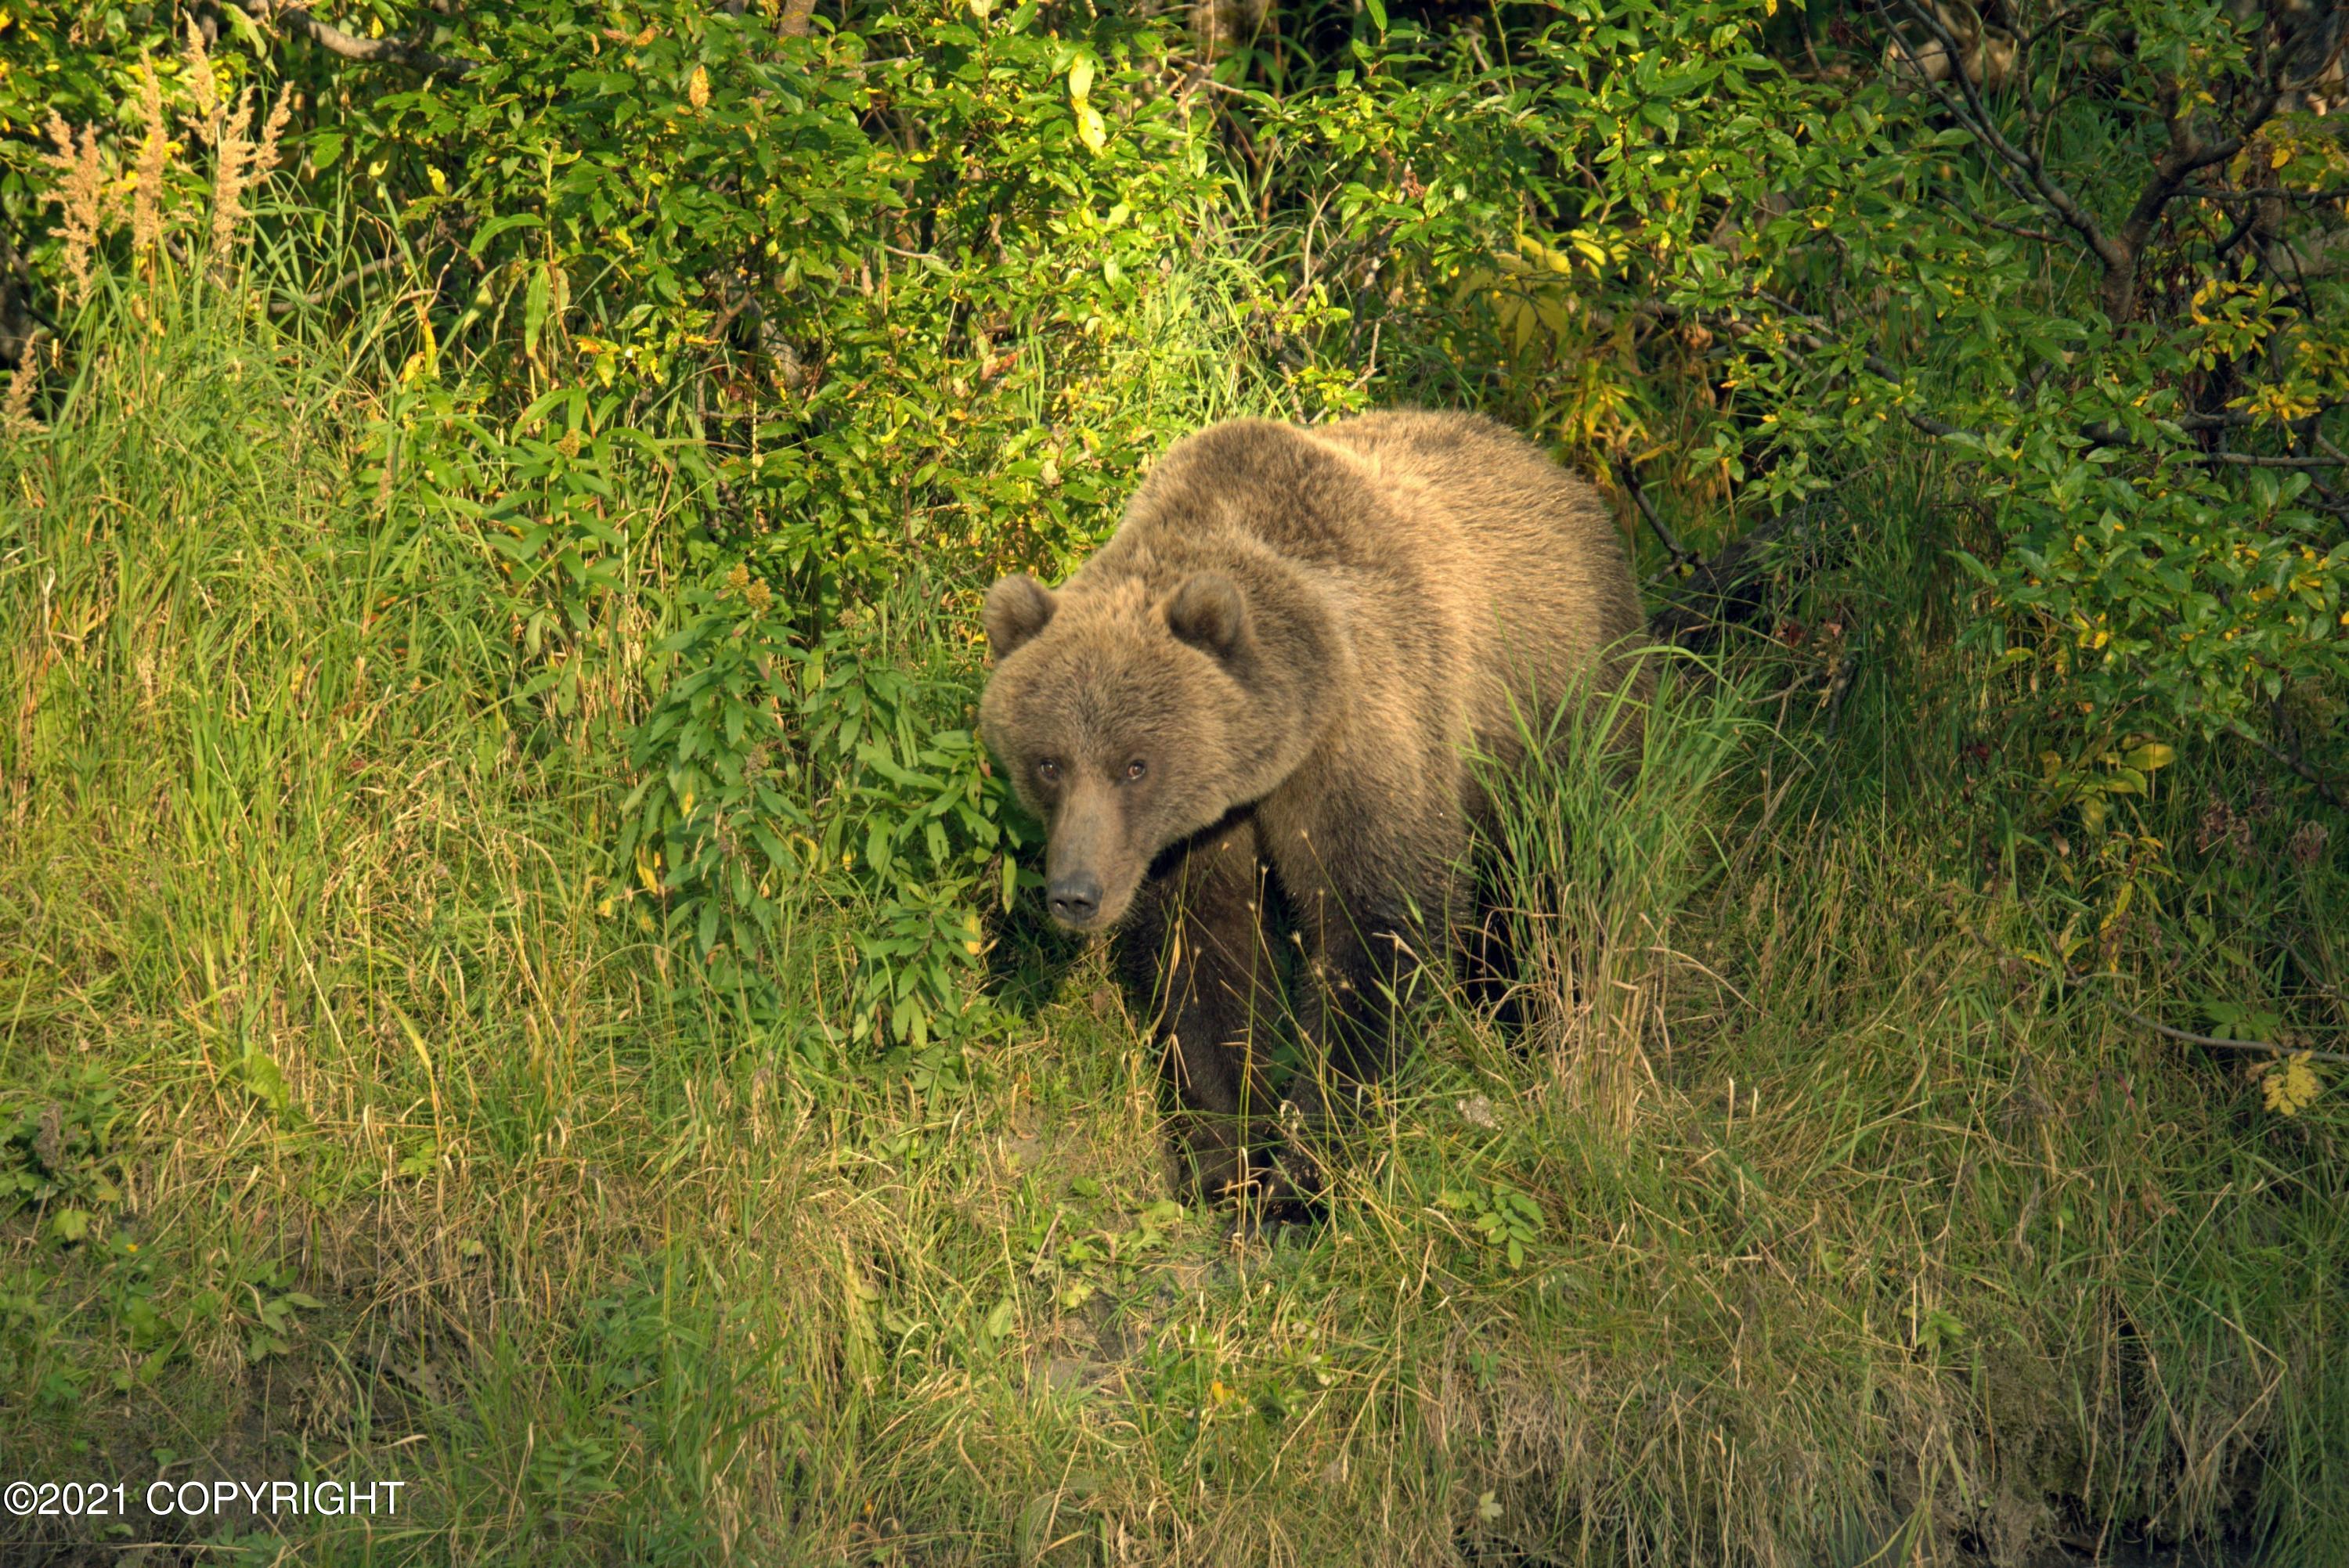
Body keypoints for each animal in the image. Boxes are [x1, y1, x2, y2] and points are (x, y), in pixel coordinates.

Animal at [972, 408, 1654, 1211]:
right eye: (1049, 762)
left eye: (1135, 763)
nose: (1076, 893)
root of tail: (1560, 474)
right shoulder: (1201, 828)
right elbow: (1205, 953)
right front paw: (1225, 1152)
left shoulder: (1362, 741)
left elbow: (1376, 928)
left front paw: (1306, 1170)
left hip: (1560, 716)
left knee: (1557, 895)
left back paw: (1548, 1031)